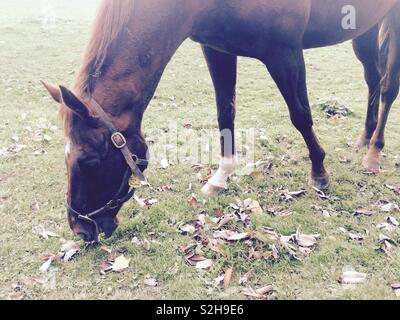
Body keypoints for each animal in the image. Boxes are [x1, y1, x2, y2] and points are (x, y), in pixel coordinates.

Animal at [43, 0, 400, 241]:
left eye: (89, 160)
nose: (80, 228)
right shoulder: (217, 50)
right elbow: (224, 112)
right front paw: (221, 176)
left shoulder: (284, 53)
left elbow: (300, 114)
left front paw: (319, 171)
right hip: (365, 29)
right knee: (372, 78)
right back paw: (364, 138)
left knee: (386, 87)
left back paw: (374, 152)